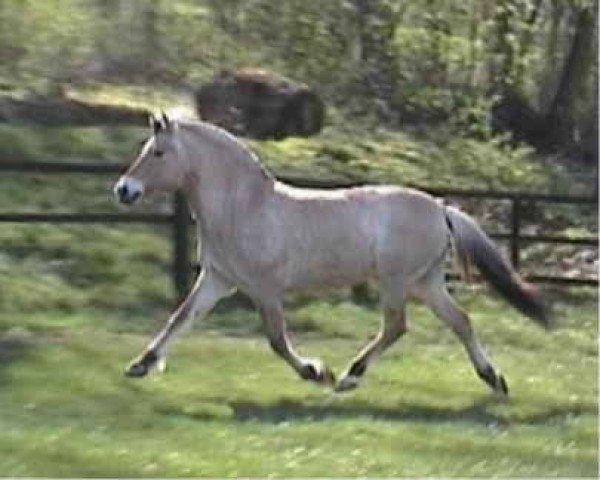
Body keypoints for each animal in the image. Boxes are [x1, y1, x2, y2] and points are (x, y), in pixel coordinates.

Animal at [112, 113, 548, 398]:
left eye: (159, 153)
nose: (123, 190)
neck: (244, 206)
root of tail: (441, 208)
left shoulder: (265, 288)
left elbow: (277, 340)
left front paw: (315, 371)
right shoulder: (218, 279)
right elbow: (180, 317)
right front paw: (142, 364)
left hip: (396, 282)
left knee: (397, 326)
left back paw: (349, 377)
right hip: (425, 283)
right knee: (460, 321)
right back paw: (494, 380)